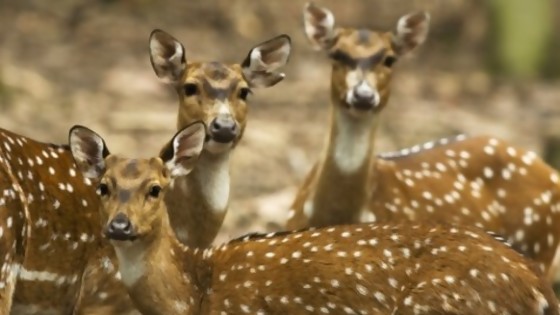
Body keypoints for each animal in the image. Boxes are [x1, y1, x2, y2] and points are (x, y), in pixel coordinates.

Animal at [288, 1, 560, 284]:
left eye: (389, 59)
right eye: (337, 55)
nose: (363, 96)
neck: (333, 214)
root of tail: (552, 172)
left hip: (540, 246)